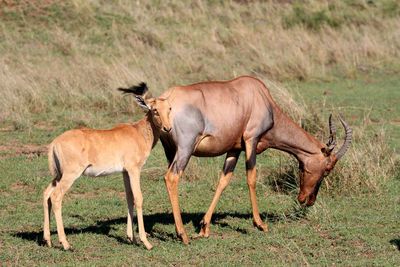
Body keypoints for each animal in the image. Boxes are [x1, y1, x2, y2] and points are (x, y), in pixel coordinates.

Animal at [43, 83, 172, 251]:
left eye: (169, 108)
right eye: (154, 109)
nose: (167, 128)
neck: (137, 132)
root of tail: (55, 142)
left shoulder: (125, 172)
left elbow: (129, 198)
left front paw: (132, 238)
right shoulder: (134, 170)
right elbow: (138, 198)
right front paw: (146, 242)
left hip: (58, 175)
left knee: (46, 194)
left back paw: (48, 240)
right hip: (70, 175)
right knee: (56, 196)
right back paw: (66, 244)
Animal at [158, 76, 352, 245]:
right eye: (328, 168)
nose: (307, 200)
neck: (260, 97)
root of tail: (166, 98)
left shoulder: (234, 148)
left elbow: (223, 181)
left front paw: (204, 227)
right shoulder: (252, 139)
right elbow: (251, 178)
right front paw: (260, 224)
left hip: (171, 151)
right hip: (186, 148)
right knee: (171, 178)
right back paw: (182, 235)